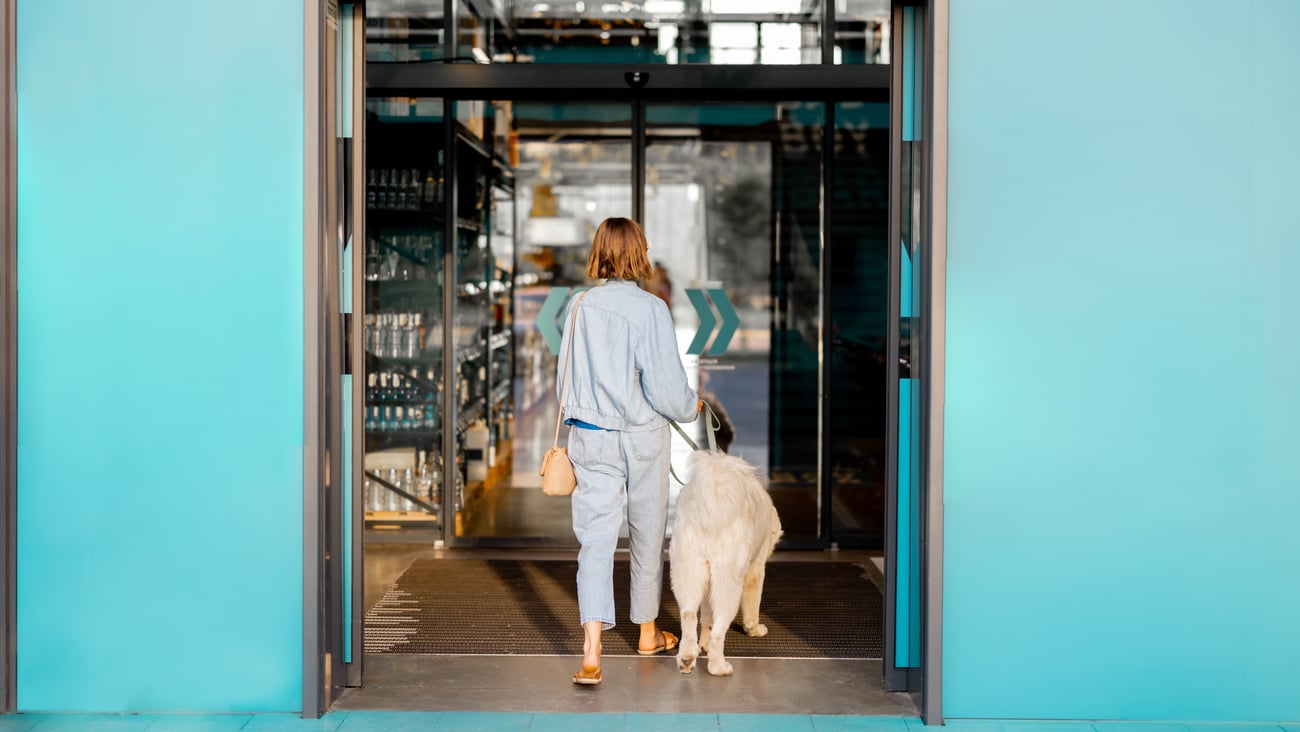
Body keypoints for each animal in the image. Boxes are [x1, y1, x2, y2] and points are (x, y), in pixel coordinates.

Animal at [670, 449, 780, 681]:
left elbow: (706, 618)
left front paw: (702, 643)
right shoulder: (755, 570)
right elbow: (752, 607)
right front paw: (755, 630)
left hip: (687, 574)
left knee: (689, 616)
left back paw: (687, 657)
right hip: (728, 584)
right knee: (719, 632)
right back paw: (718, 667)